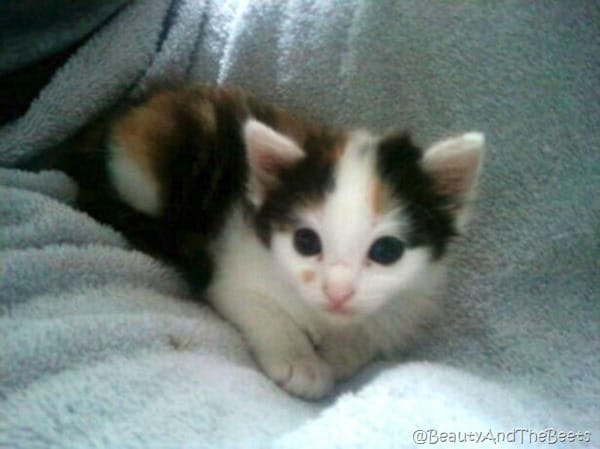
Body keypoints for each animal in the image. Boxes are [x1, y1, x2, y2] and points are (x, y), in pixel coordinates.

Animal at [58, 84, 486, 400]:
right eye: (306, 242)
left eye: (386, 251)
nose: (337, 292)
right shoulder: (236, 267)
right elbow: (265, 312)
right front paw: (301, 361)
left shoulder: (411, 301)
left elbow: (373, 331)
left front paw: (340, 352)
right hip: (145, 163)